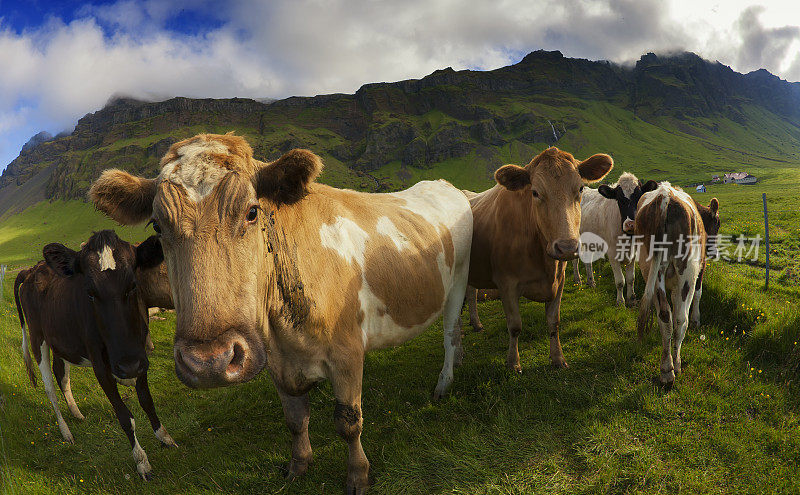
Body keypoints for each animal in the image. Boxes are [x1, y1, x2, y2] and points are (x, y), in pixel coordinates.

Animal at [13, 232, 177, 480]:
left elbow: (147, 401)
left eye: (133, 285)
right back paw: (66, 432)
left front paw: (165, 437)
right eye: (90, 293)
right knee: (49, 387)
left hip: (61, 340)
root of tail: (33, 269)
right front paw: (142, 462)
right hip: (36, 337)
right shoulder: (102, 367)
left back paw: (76, 413)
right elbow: (124, 416)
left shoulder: (139, 357)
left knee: (62, 375)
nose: (126, 366)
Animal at [89, 134, 476, 494]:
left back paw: (444, 382)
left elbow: (348, 422)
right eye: (157, 225)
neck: (285, 332)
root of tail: (444, 185)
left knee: (450, 333)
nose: (210, 362)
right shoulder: (276, 361)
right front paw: (298, 465)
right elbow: (294, 419)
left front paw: (358, 476)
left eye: (252, 212)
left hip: (459, 282)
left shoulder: (347, 353)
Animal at [462, 147, 612, 372]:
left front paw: (558, 358)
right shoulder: (506, 283)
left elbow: (553, 322)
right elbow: (515, 326)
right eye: (535, 192)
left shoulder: (559, 280)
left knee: (471, 294)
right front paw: (513, 363)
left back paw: (475, 323)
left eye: (580, 188)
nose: (567, 247)